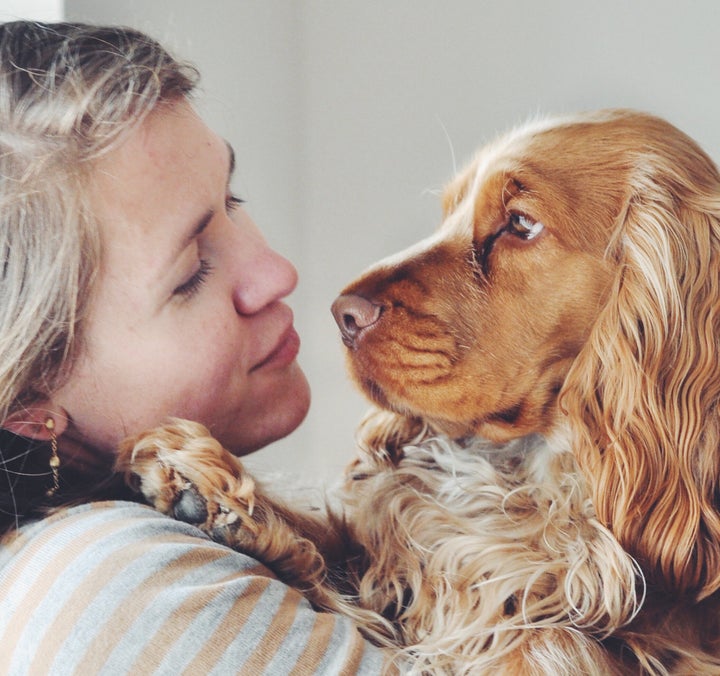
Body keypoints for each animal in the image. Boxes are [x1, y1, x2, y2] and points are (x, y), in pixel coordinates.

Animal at [115, 108, 720, 672]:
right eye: (449, 213)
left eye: (521, 224)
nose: (343, 314)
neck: (539, 469)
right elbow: (349, 532)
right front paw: (205, 484)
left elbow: (543, 634)